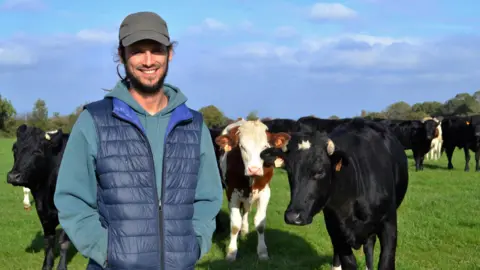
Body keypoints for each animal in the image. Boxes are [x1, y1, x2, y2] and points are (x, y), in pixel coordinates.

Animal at [6, 125, 71, 270]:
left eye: (37, 151)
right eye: (14, 148)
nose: (13, 176)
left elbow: (63, 241)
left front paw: (61, 266)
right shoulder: (42, 210)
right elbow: (49, 240)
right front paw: (46, 265)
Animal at [216, 119, 290, 260]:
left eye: (265, 147)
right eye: (242, 146)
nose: (254, 169)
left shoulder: (265, 192)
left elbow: (260, 223)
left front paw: (262, 252)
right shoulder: (232, 193)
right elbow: (235, 224)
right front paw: (231, 252)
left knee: (245, 211)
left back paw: (244, 230)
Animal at [260, 119, 410, 270]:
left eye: (320, 171)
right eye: (289, 171)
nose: (292, 216)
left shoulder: (389, 224)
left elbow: (386, 262)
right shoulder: (335, 228)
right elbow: (348, 262)